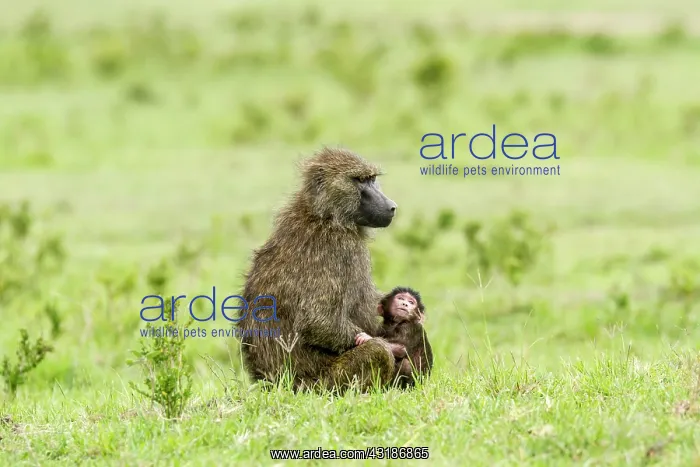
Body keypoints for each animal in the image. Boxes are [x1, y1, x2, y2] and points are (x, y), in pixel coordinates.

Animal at [237, 147, 399, 393]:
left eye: (371, 179)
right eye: (359, 180)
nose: (391, 207)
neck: (324, 215)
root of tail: (273, 383)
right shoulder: (343, 248)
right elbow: (317, 321)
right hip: (323, 384)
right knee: (377, 351)